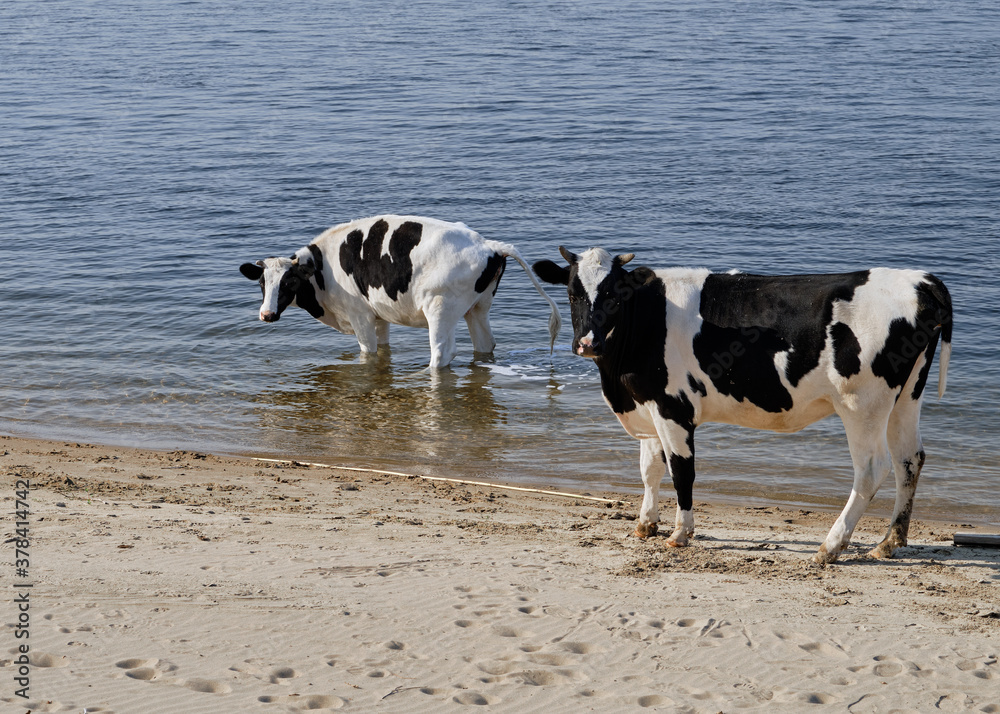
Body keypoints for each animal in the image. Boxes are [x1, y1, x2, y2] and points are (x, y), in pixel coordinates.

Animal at [238, 214, 560, 368]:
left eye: (289, 282)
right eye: (262, 283)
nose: (266, 314)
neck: (321, 268)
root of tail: (488, 244)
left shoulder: (360, 315)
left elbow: (368, 353)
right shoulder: (378, 316)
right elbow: (383, 350)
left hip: (439, 308)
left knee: (442, 352)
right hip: (477, 309)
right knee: (485, 346)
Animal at [536, 248, 948, 564]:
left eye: (615, 295)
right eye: (572, 293)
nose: (587, 343)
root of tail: (920, 280)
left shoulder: (673, 407)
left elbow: (681, 471)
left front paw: (680, 533)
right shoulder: (648, 404)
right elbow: (650, 469)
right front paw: (645, 524)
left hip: (862, 404)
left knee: (871, 469)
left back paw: (830, 547)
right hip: (906, 397)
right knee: (909, 460)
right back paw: (889, 542)